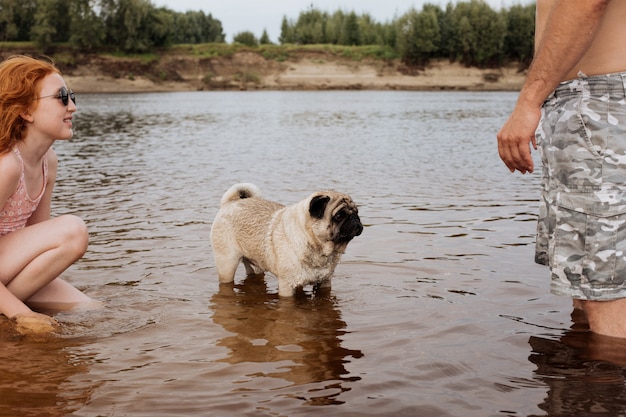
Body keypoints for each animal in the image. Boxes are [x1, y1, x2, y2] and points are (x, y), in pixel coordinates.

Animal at [212, 182, 364, 296]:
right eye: (339, 215)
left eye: (356, 212)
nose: (355, 218)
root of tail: (230, 203)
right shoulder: (287, 286)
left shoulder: (325, 282)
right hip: (227, 265)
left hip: (255, 265)